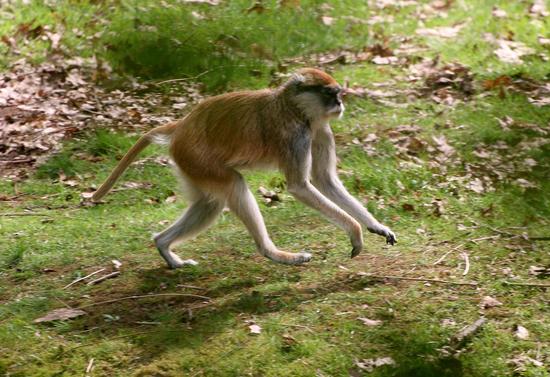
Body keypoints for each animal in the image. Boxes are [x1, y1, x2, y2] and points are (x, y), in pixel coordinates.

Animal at [92, 67, 398, 268]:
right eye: (329, 93)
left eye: (337, 94)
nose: (340, 103)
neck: (292, 106)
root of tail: (182, 125)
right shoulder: (294, 136)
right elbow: (300, 186)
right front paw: (356, 232)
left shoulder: (320, 130)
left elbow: (326, 180)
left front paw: (376, 226)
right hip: (196, 156)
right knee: (233, 185)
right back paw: (273, 253)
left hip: (190, 163)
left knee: (209, 203)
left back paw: (163, 246)